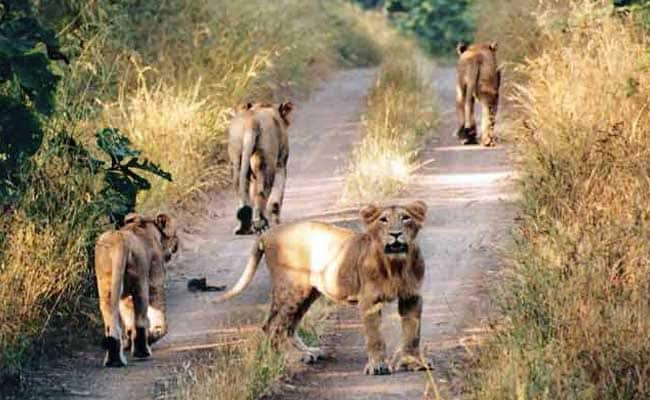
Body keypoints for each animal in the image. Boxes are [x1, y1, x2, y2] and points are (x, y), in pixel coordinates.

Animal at [93, 214, 177, 368]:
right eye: (174, 235)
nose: (176, 246)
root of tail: (118, 240)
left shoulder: (124, 295)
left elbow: (128, 317)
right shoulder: (156, 278)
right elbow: (159, 312)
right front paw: (154, 335)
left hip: (105, 280)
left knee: (111, 319)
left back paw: (114, 360)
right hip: (140, 282)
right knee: (140, 319)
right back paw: (142, 351)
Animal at [218, 202, 430, 376]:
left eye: (406, 218)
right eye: (383, 220)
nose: (396, 234)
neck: (396, 265)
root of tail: (267, 233)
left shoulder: (412, 296)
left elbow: (413, 333)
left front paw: (413, 362)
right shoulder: (369, 300)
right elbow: (375, 336)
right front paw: (377, 366)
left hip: (307, 293)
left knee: (287, 326)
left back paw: (307, 352)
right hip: (292, 289)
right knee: (273, 326)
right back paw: (294, 356)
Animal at [225, 101, 292, 236]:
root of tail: (251, 122)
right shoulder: (281, 163)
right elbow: (278, 192)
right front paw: (276, 218)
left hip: (236, 159)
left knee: (241, 191)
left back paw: (243, 228)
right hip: (266, 159)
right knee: (262, 193)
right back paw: (261, 223)